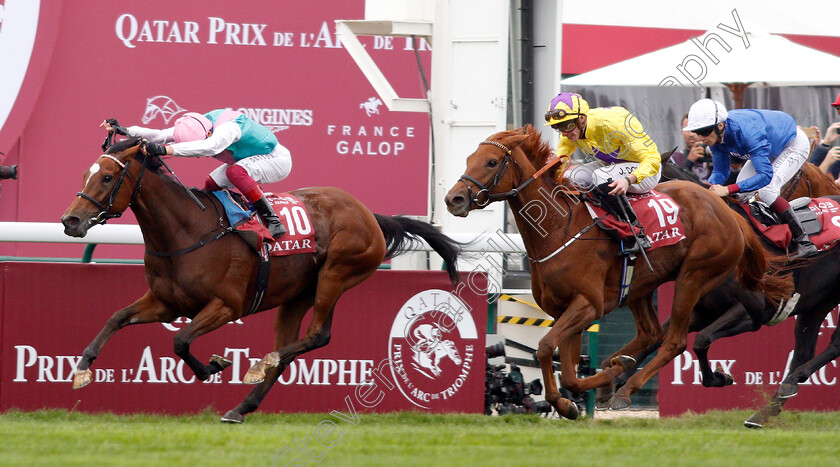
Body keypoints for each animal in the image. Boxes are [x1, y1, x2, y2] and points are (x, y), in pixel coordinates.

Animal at [62, 136, 462, 424]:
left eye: (108, 177)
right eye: (85, 175)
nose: (71, 221)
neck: (188, 230)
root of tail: (369, 214)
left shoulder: (226, 305)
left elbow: (181, 340)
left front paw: (214, 366)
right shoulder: (166, 303)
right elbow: (116, 318)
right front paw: (81, 371)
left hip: (336, 274)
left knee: (317, 335)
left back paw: (256, 367)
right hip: (297, 296)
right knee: (289, 350)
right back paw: (242, 406)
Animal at [442, 125, 792, 420]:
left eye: (490, 162)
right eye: (469, 159)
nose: (453, 198)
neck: (558, 228)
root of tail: (729, 212)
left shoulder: (589, 304)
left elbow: (544, 349)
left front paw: (595, 386)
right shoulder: (565, 310)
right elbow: (568, 371)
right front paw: (572, 401)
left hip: (694, 277)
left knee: (675, 340)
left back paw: (626, 387)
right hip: (642, 285)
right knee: (652, 333)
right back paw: (624, 367)